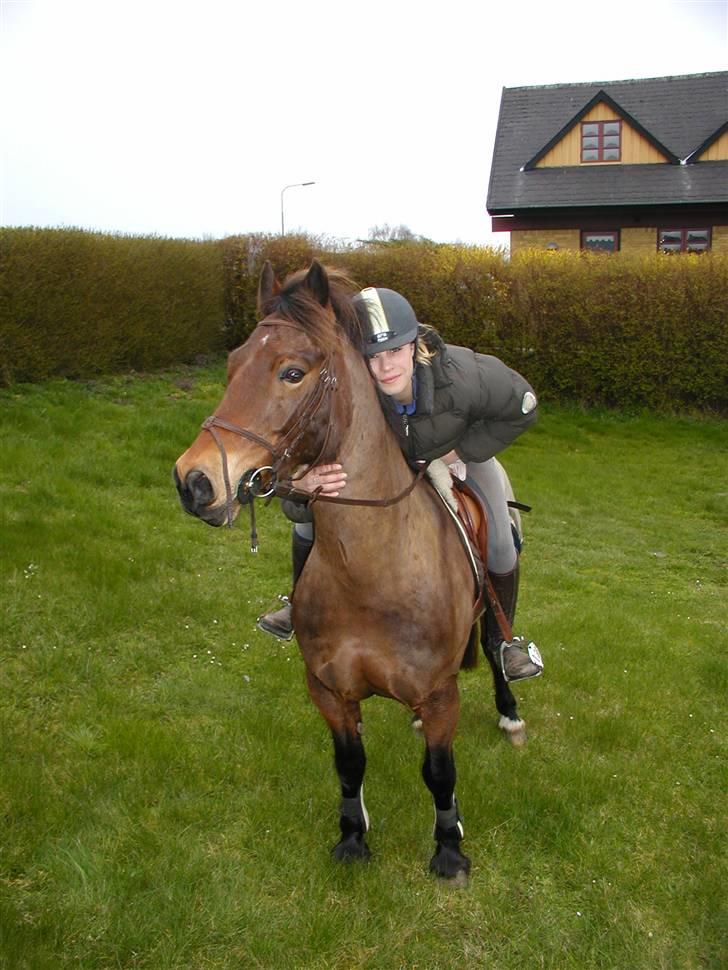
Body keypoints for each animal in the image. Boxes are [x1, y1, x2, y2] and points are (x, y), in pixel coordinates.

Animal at [173, 260, 528, 876]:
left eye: (292, 372)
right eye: (233, 363)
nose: (194, 482)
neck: (372, 574)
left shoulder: (439, 696)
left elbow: (439, 773)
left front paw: (449, 849)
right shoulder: (329, 692)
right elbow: (349, 764)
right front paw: (352, 836)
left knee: (492, 644)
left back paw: (509, 708)